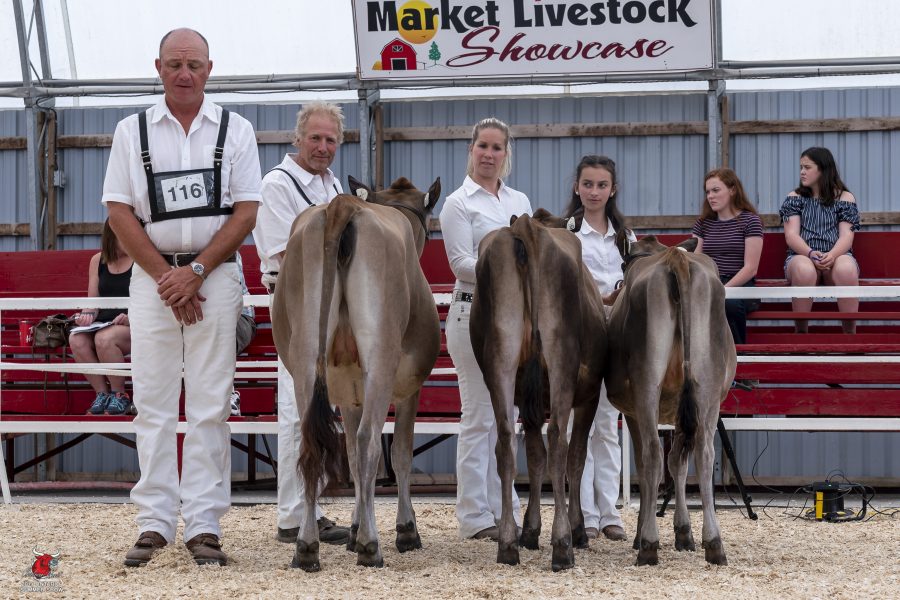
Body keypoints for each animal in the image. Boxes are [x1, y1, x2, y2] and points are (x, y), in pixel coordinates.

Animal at [272, 176, 441, 571]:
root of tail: (342, 205)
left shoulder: (348, 390)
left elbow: (348, 452)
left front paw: (352, 528)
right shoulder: (409, 387)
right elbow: (400, 453)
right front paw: (404, 530)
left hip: (305, 357)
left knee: (311, 444)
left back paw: (306, 548)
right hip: (380, 355)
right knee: (370, 441)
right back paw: (370, 546)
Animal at [470, 210, 607, 572]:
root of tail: (527, 225)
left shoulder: (527, 404)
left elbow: (533, 456)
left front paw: (530, 532)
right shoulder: (589, 395)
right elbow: (575, 457)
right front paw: (576, 529)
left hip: (499, 358)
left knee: (505, 442)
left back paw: (507, 544)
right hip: (561, 361)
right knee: (560, 441)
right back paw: (563, 545)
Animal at [605, 235, 736, 566]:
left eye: (624, 265)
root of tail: (675, 258)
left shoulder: (633, 410)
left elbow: (650, 464)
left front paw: (648, 533)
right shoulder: (681, 408)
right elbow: (678, 460)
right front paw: (684, 533)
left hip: (647, 386)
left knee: (651, 454)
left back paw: (648, 545)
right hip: (708, 389)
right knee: (703, 452)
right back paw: (714, 544)